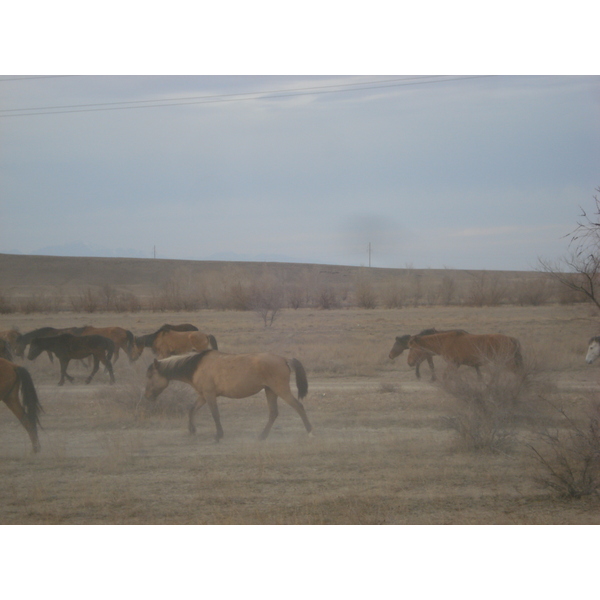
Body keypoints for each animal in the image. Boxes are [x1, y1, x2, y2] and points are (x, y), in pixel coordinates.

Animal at [145, 350, 314, 442]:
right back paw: (262, 436)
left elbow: (215, 414)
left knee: (298, 406)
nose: (147, 396)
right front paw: (192, 430)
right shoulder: (203, 396)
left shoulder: (209, 395)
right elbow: (192, 409)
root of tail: (284, 359)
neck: (197, 365)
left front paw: (218, 435)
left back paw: (310, 431)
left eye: (150, 376)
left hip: (280, 390)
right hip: (270, 391)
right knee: (273, 413)